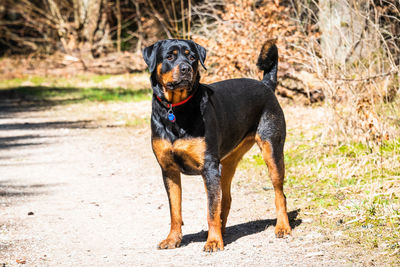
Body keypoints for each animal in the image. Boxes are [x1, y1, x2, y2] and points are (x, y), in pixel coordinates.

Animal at [144, 38, 290, 252]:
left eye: (192, 57)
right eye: (169, 56)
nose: (186, 68)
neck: (176, 109)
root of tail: (266, 85)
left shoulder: (209, 167)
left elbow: (211, 209)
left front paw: (213, 241)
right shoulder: (168, 170)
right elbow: (175, 210)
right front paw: (173, 239)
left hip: (272, 150)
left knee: (279, 193)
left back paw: (282, 227)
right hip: (227, 163)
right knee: (226, 199)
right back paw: (223, 230)